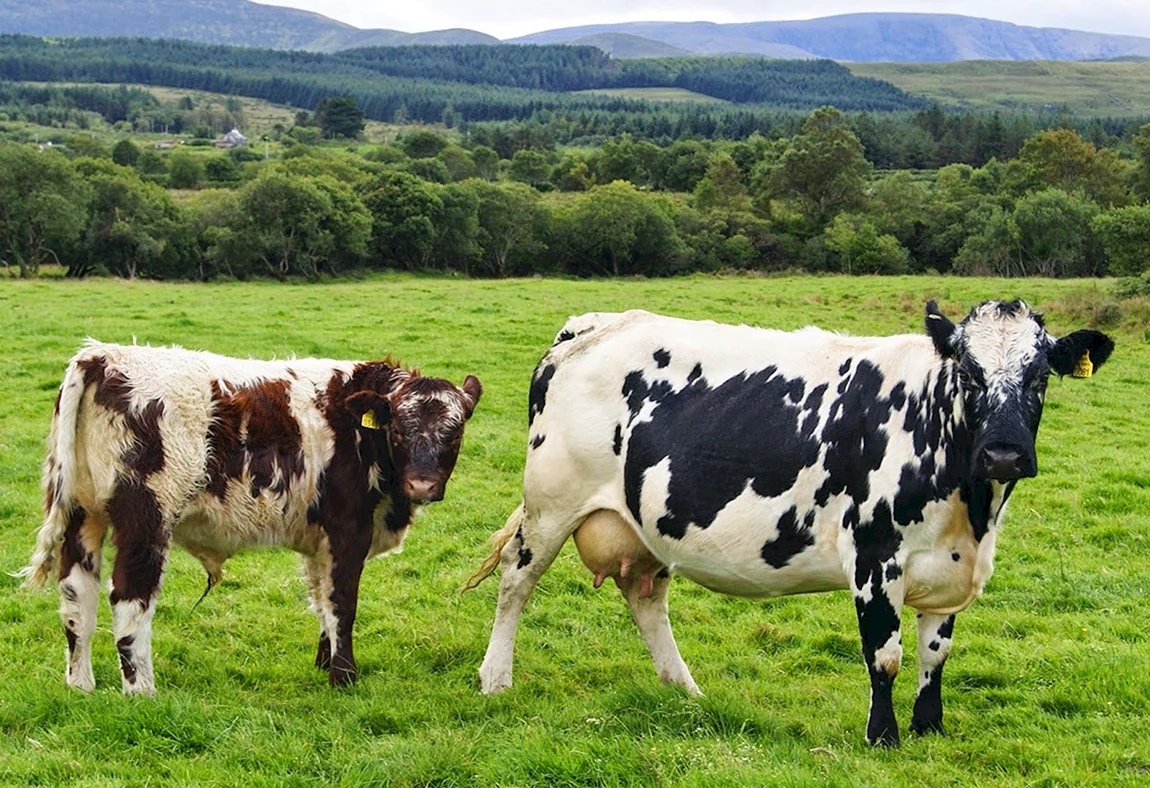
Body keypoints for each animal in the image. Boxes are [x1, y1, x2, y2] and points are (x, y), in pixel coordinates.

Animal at [20, 340, 482, 695]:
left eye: (455, 432)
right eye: (399, 430)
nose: (422, 485)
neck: (356, 428)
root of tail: (104, 355)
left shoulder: (319, 539)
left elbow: (320, 600)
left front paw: (324, 662)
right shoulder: (348, 530)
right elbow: (342, 603)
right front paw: (344, 677)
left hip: (84, 516)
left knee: (78, 598)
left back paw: (81, 685)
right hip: (146, 521)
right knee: (130, 600)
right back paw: (141, 691)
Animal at [467, 301, 1112, 747]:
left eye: (1040, 376)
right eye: (970, 375)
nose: (1003, 454)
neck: (972, 509)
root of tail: (595, 323)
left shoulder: (949, 566)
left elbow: (935, 655)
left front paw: (928, 729)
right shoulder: (875, 556)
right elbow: (886, 655)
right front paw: (884, 737)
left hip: (647, 521)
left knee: (645, 598)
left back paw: (684, 691)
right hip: (550, 502)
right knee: (515, 580)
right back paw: (495, 678)